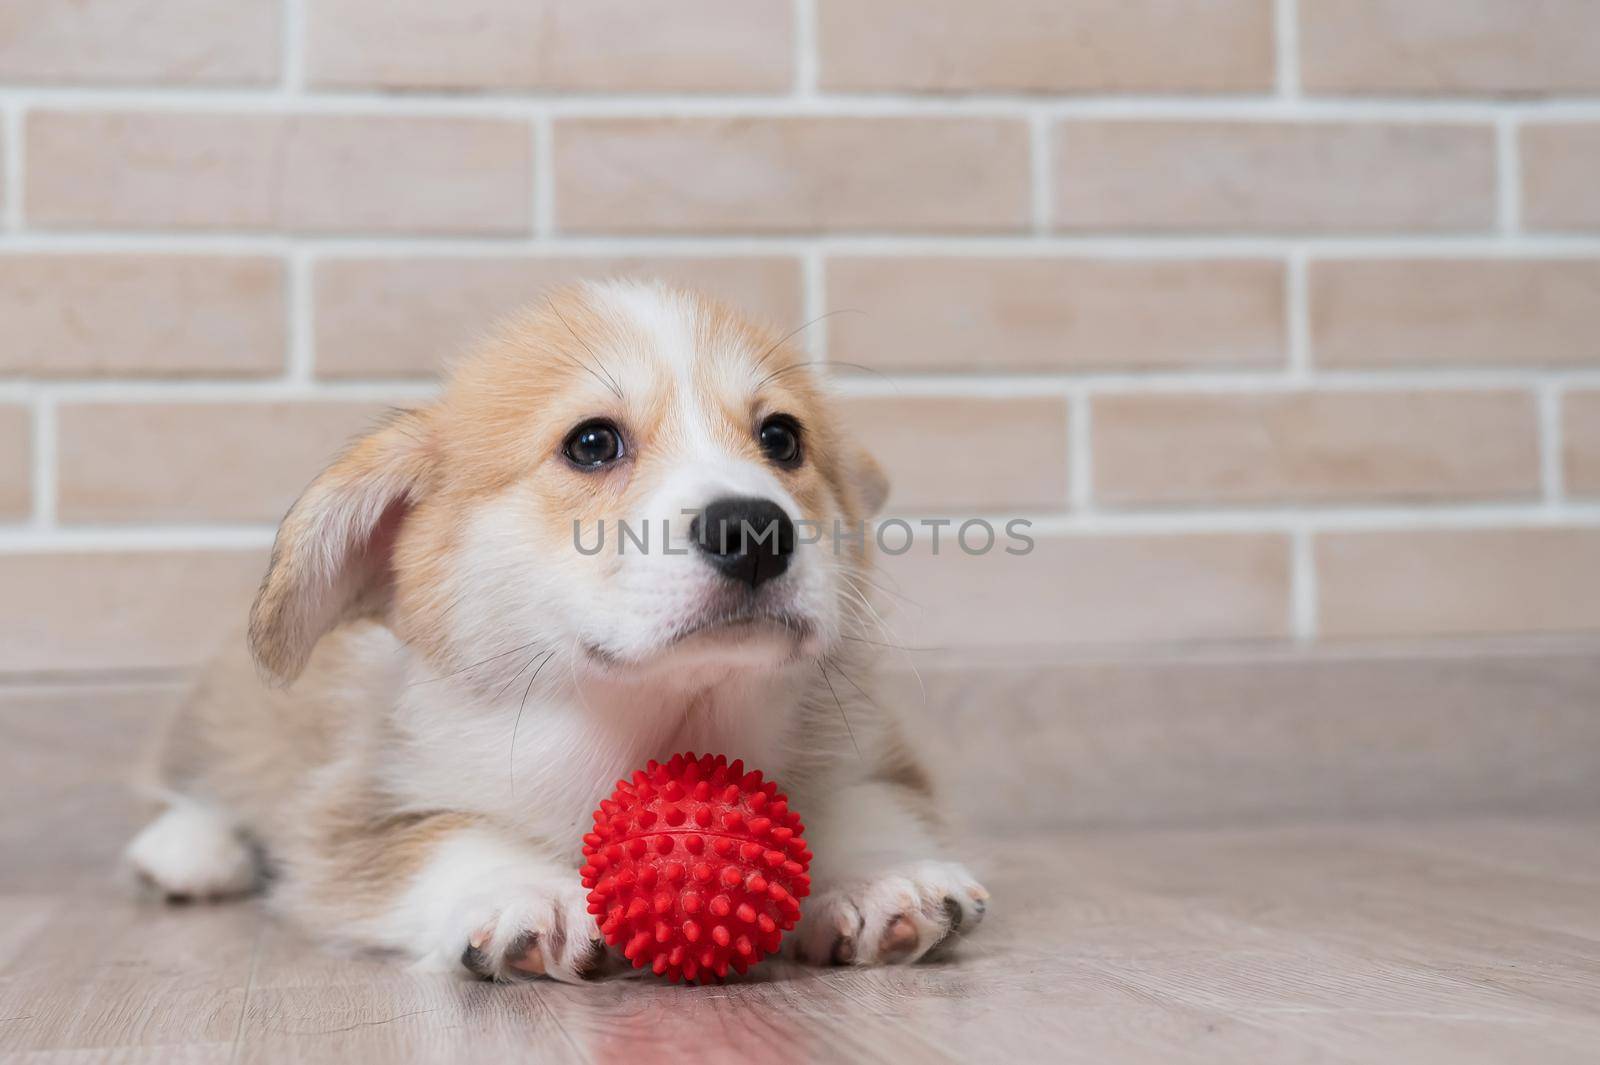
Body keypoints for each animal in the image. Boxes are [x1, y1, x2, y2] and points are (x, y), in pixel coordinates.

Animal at [124, 278, 979, 972]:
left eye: (781, 437)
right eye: (592, 442)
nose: (755, 530)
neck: (658, 722)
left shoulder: (872, 753)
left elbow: (864, 802)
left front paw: (881, 875)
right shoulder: (352, 814)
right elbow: (440, 838)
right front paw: (524, 890)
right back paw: (188, 848)